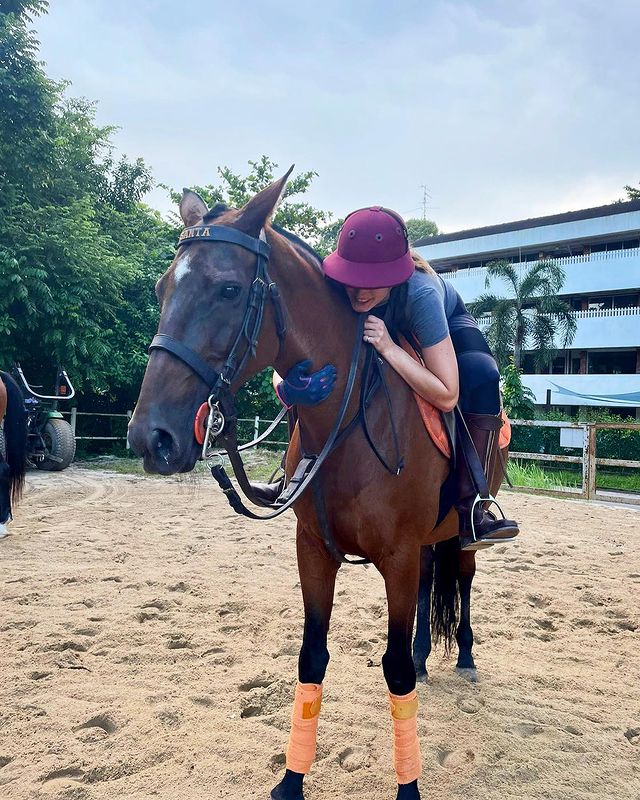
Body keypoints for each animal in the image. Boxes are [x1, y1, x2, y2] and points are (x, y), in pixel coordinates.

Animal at [128, 173, 508, 800]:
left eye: (229, 289)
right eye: (161, 289)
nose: (149, 436)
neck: (347, 414)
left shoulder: (397, 557)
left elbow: (392, 671)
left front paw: (408, 786)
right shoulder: (314, 552)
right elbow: (311, 658)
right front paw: (291, 780)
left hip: (464, 532)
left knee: (464, 579)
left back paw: (466, 656)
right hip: (427, 541)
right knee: (434, 582)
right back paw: (427, 656)